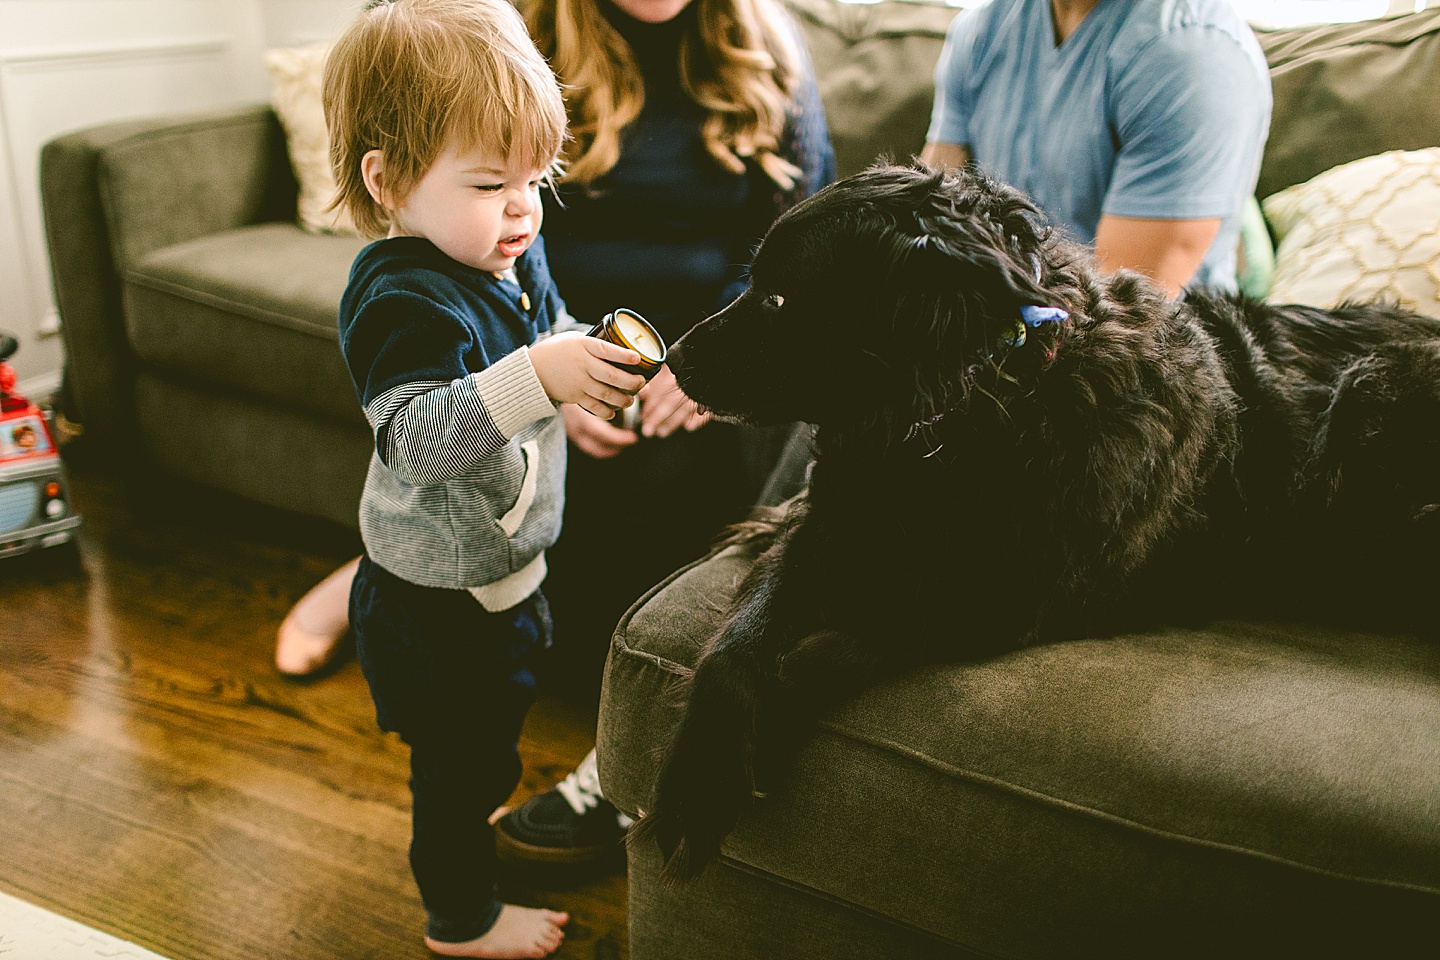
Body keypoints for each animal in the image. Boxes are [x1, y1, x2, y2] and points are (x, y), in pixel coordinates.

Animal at [642, 159, 1440, 886]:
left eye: (779, 298)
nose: (671, 360)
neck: (978, 412)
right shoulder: (825, 525)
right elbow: (736, 645)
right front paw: (701, 769)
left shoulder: (1018, 599)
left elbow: (833, 650)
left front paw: (760, 734)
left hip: (1374, 389)